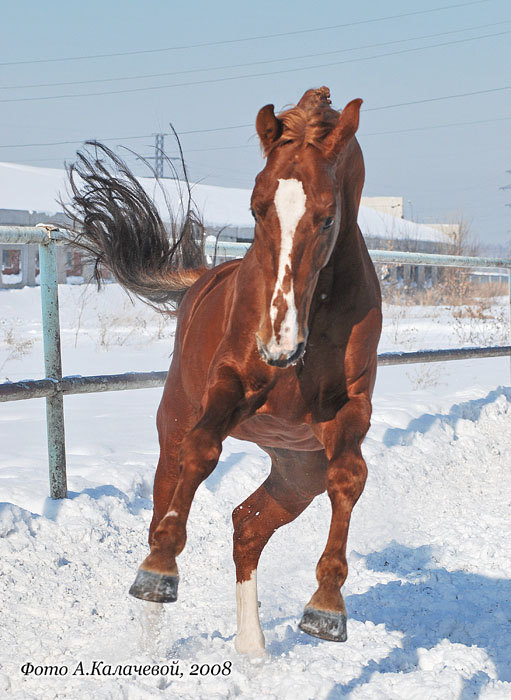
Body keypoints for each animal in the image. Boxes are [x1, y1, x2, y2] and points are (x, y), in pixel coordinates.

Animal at [67, 87, 380, 656]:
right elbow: (202, 449)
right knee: (167, 503)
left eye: (328, 217)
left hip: (297, 474)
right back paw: (151, 621)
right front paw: (160, 573)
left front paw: (326, 608)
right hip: (174, 428)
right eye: (257, 208)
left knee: (247, 527)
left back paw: (252, 648)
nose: (279, 346)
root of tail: (201, 279)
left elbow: (349, 476)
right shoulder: (230, 386)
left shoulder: (350, 410)